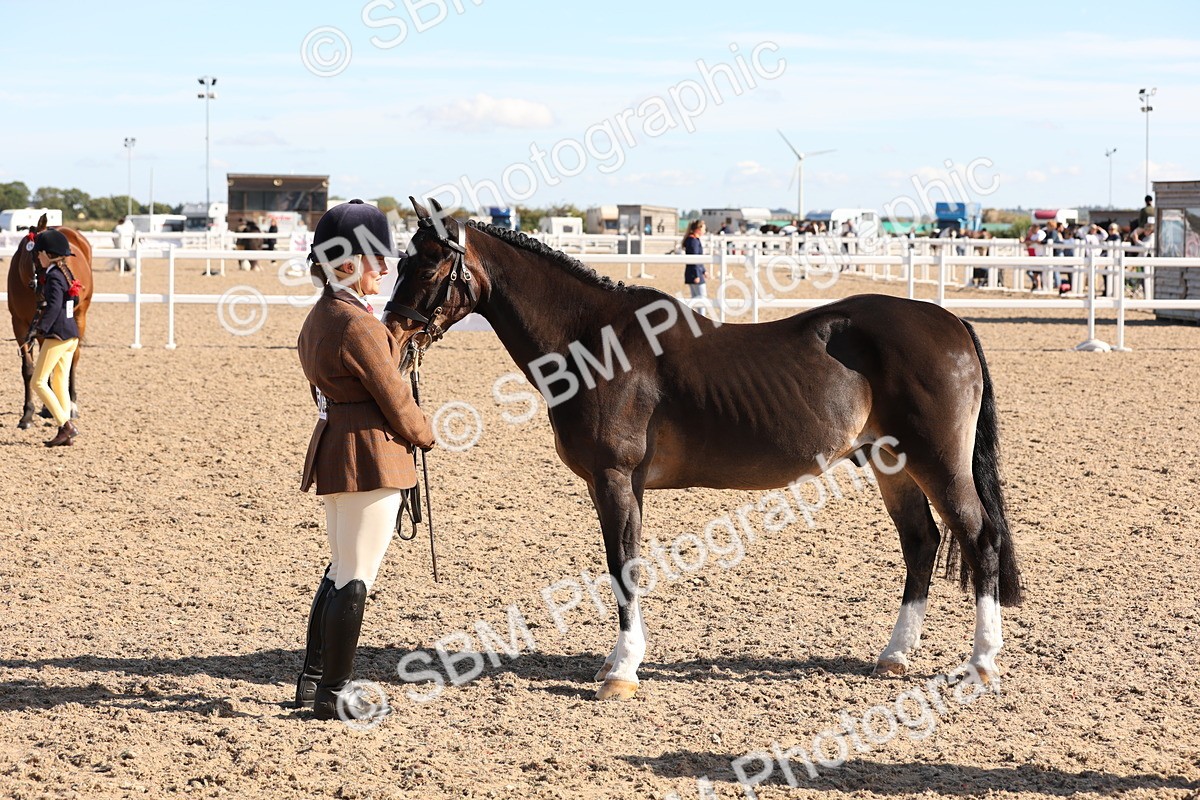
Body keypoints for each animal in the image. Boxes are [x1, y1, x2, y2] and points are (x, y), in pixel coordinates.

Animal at [6, 214, 94, 429]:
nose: (73, 293)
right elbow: (29, 369)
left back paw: (71, 405)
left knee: (73, 358)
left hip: (79, 317)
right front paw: (27, 415)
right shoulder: (20, 326)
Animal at [383, 197, 1023, 701]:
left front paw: (621, 672)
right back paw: (894, 657)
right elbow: (629, 563)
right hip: (891, 464)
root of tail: (952, 324)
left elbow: (621, 564)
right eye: (400, 260)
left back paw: (981, 664)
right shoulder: (628, 485)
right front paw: (621, 660)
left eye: (431, 262)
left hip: (937, 463)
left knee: (978, 536)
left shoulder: (613, 477)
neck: (594, 345)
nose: (392, 329)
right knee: (921, 543)